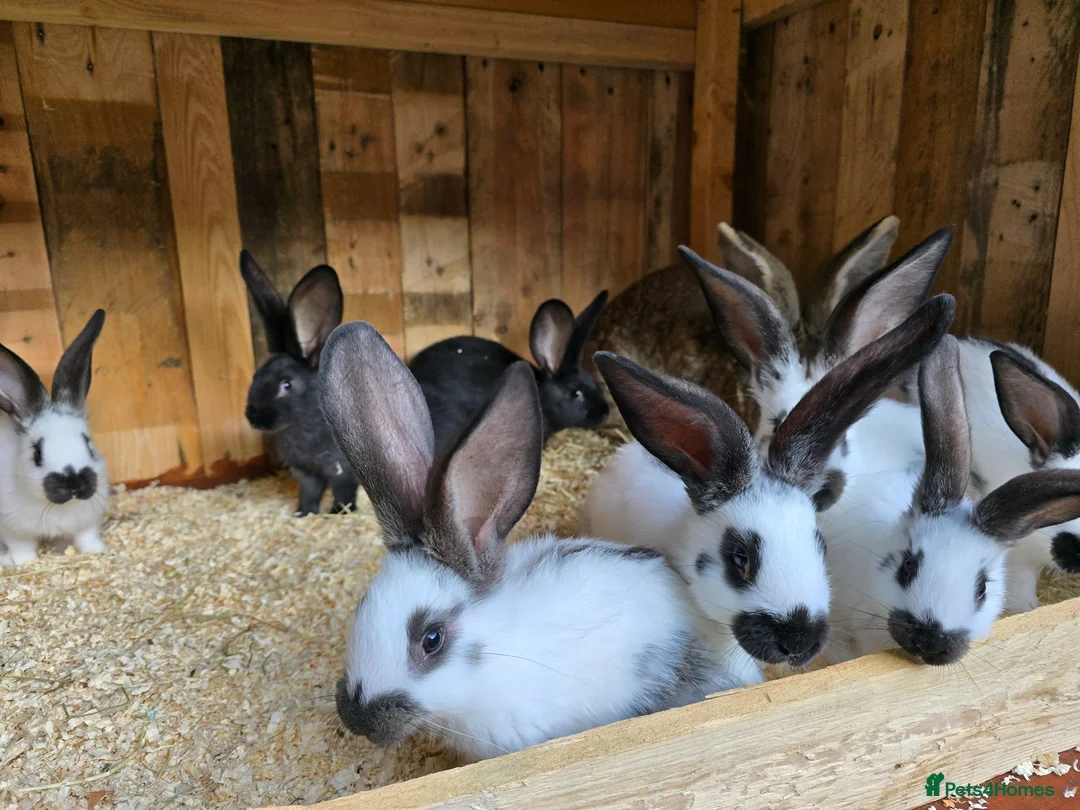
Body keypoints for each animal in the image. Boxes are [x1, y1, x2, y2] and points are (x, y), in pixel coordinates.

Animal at [0, 310, 110, 565]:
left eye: (88, 443)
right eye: (37, 453)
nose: (74, 483)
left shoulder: (87, 522)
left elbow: (86, 538)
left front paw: (97, 551)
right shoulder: (12, 530)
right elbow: (22, 548)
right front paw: (25, 563)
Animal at [240, 250, 358, 516]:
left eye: (286, 385)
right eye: (255, 376)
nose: (253, 417)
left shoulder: (342, 470)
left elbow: (344, 493)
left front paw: (337, 513)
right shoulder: (307, 473)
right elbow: (310, 493)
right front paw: (303, 514)